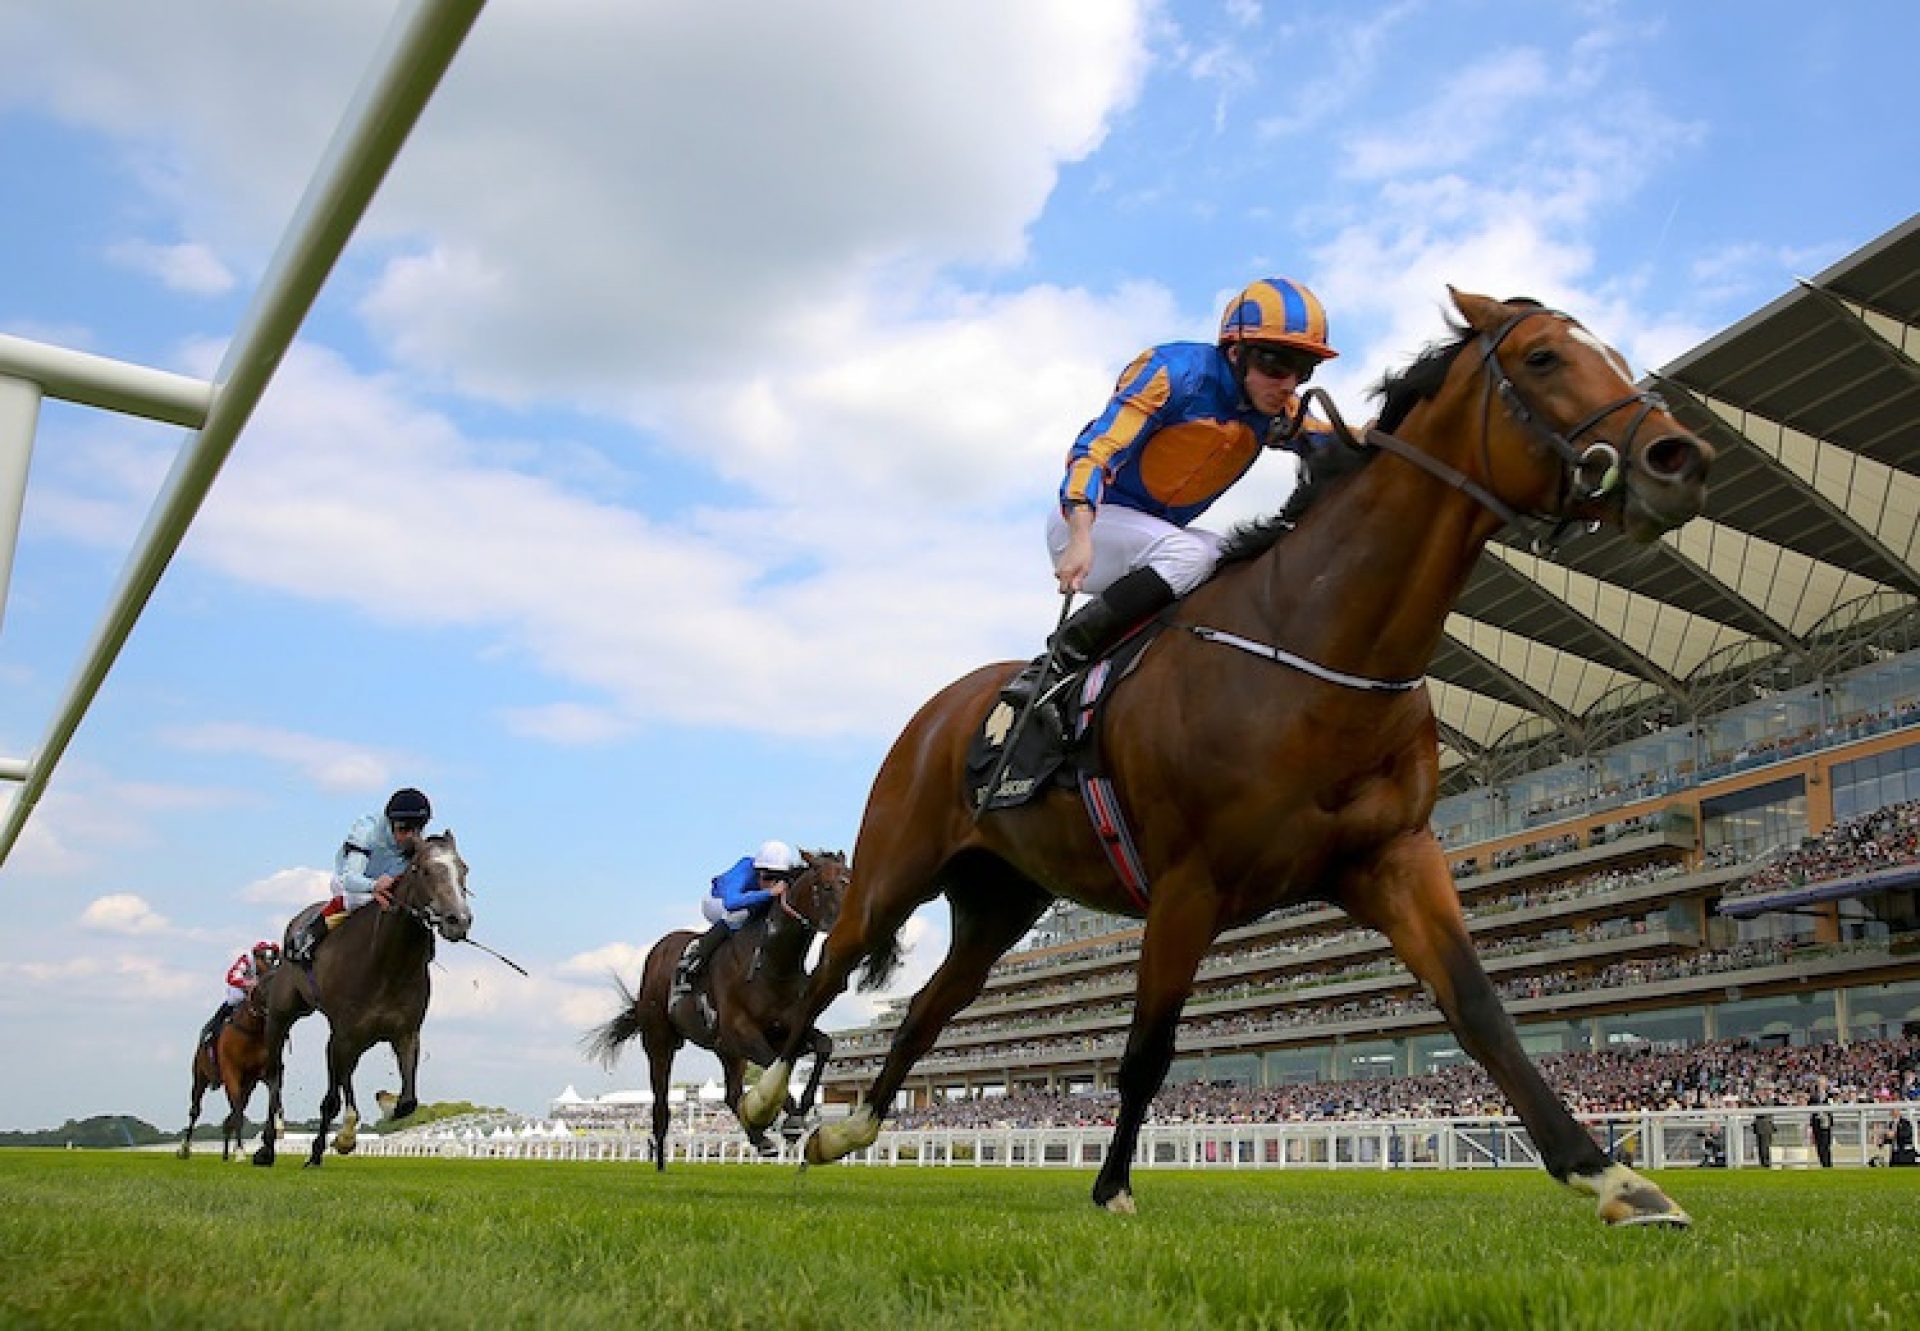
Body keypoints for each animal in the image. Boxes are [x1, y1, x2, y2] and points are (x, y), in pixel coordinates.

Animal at [176, 964, 276, 1160]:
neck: (249, 1030)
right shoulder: (231, 1073)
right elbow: (237, 1113)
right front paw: (240, 1151)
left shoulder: (259, 1075)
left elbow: (270, 1096)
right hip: (200, 1077)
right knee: (195, 1110)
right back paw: (185, 1148)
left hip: (245, 1084)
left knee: (233, 1112)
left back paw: (225, 1153)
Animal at [249, 837, 474, 1167]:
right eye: (423, 870)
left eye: (463, 869)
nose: (458, 919)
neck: (388, 964)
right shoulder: (343, 1034)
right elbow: (332, 1098)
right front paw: (332, 1144)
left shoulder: (406, 1033)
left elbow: (408, 1101)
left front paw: (382, 1106)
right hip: (282, 1016)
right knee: (275, 1074)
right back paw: (268, 1144)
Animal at [576, 852, 848, 1160]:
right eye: (827, 886)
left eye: (851, 881)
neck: (773, 963)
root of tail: (657, 952)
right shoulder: (743, 1034)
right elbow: (774, 1073)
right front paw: (792, 1120)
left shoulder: (784, 1030)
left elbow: (823, 1046)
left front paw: (798, 1113)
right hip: (660, 1042)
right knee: (661, 1104)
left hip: (725, 1050)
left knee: (731, 1094)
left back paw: (760, 1139)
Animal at [744, 290, 1712, 1221]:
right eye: (1543, 357)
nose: (1680, 456)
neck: (1317, 642)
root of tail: (939, 709)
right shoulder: (1189, 882)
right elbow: (1146, 1048)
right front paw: (1113, 1186)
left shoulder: (1392, 854)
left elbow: (1480, 1008)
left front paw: (1611, 1176)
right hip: (892, 867)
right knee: (830, 969)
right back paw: (762, 1099)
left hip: (1000, 897)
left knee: (930, 1005)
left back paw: (843, 1131)